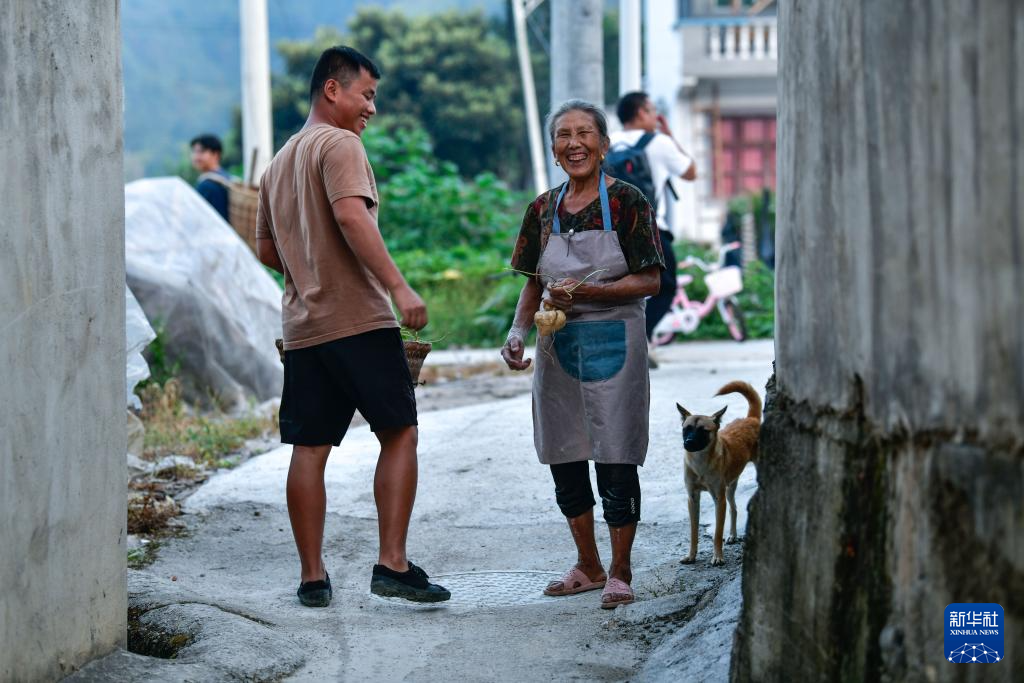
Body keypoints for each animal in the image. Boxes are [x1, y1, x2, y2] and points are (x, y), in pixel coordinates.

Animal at [675, 378, 765, 565]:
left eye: (703, 430)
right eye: (686, 428)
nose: (688, 442)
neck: (700, 463)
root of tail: (750, 418)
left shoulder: (719, 498)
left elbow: (717, 532)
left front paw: (717, 556)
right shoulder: (692, 498)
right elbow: (693, 532)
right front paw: (691, 555)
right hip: (730, 487)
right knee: (734, 509)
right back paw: (732, 535)